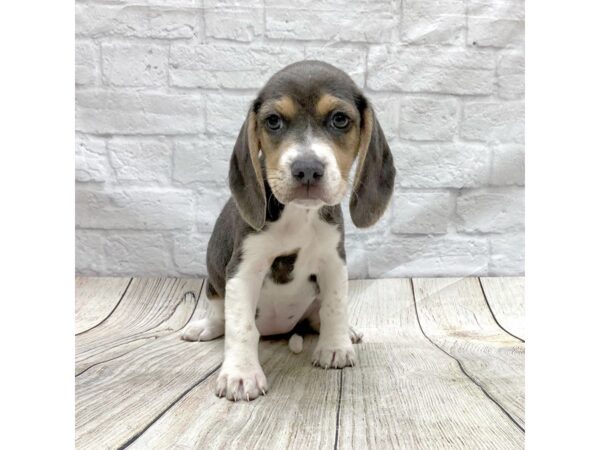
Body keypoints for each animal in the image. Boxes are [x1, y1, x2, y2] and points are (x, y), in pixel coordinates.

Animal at [183, 59, 398, 400]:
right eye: (273, 121)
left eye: (340, 119)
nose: (307, 169)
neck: (299, 215)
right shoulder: (243, 269)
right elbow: (241, 326)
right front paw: (241, 375)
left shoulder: (333, 262)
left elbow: (335, 306)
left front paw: (335, 347)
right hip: (216, 280)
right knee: (221, 313)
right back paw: (206, 326)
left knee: (319, 313)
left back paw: (344, 332)